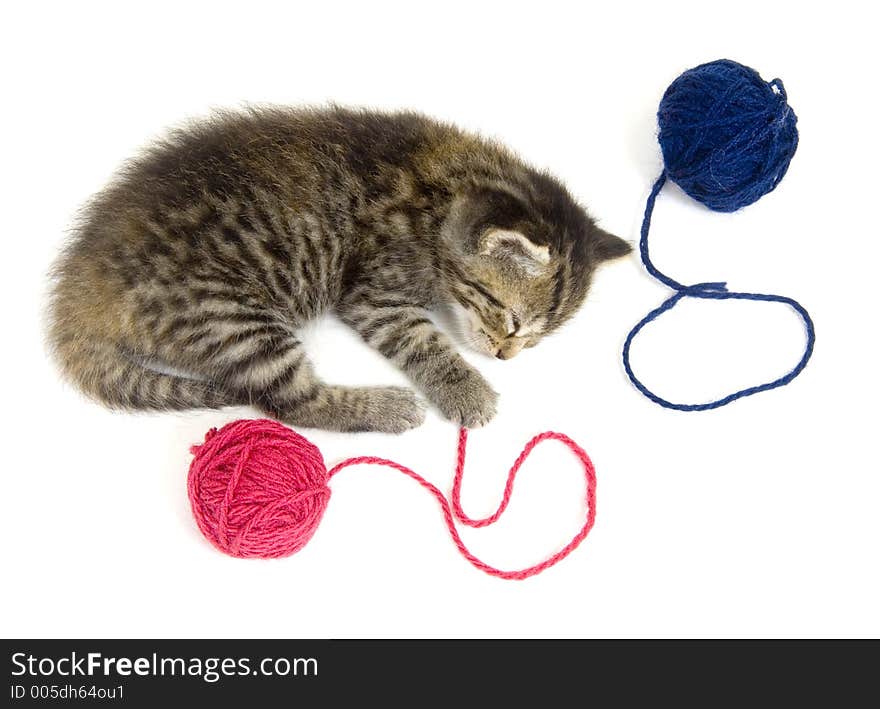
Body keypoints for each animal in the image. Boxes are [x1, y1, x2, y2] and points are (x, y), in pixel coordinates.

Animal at [48, 106, 628, 432]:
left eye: (535, 340)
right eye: (511, 320)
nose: (507, 356)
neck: (447, 191)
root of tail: (80, 295)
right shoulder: (374, 291)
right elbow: (425, 341)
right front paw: (466, 388)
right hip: (229, 318)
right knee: (293, 402)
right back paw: (384, 408)